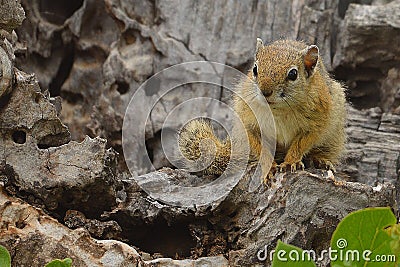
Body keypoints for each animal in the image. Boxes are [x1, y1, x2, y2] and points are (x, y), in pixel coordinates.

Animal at [178, 37, 346, 183]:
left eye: (293, 74)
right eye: (254, 68)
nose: (265, 91)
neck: (278, 110)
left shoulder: (316, 123)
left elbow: (300, 144)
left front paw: (290, 162)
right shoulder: (249, 123)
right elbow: (261, 148)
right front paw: (269, 167)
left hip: (334, 135)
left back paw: (321, 160)